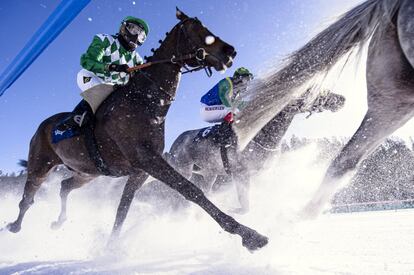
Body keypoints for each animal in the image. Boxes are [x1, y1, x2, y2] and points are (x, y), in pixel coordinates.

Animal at [8, 8, 268, 252]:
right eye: (196, 29)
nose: (230, 51)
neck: (145, 102)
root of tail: (43, 125)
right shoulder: (147, 159)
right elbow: (190, 189)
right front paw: (249, 235)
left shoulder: (140, 171)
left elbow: (123, 207)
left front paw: (110, 247)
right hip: (41, 165)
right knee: (27, 198)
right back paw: (14, 225)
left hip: (87, 172)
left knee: (64, 186)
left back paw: (59, 221)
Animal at [167, 90, 344, 213]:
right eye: (317, 89)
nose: (341, 99)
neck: (260, 134)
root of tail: (174, 143)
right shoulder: (240, 173)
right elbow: (245, 205)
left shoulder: (262, 173)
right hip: (184, 169)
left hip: (210, 174)